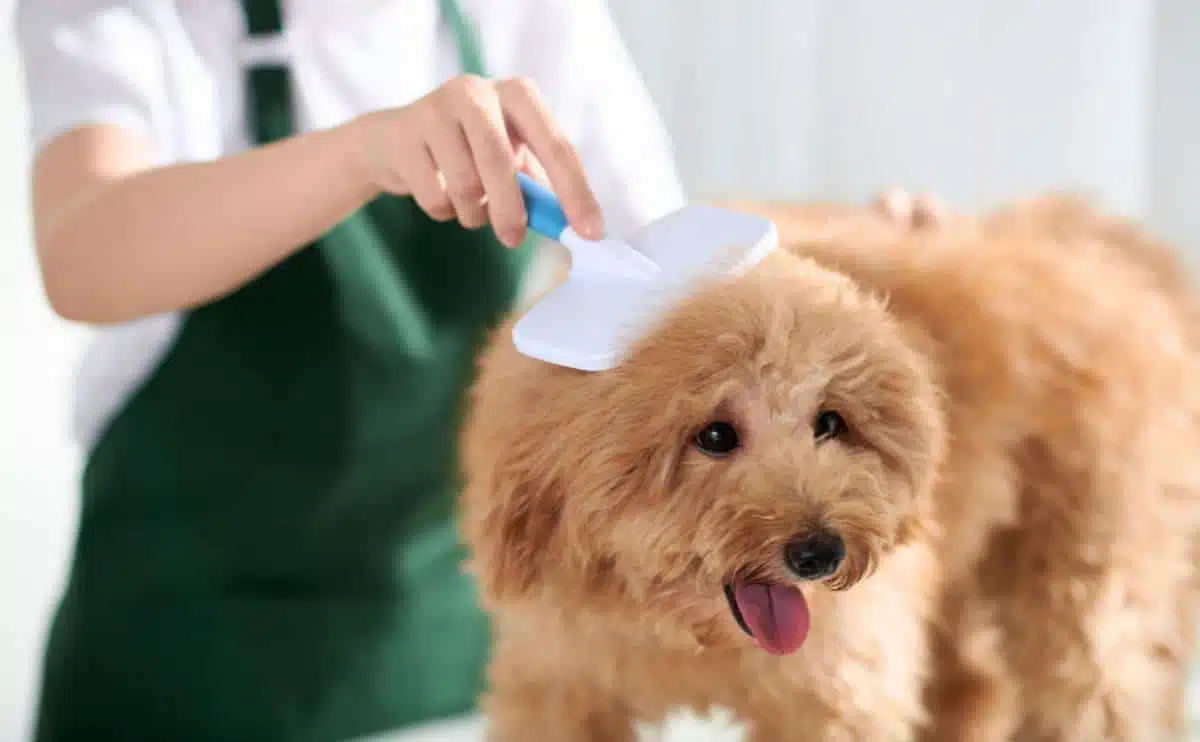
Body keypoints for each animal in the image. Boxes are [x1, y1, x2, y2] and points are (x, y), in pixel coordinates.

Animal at [456, 192, 1200, 739]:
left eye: (830, 422)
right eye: (715, 434)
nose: (820, 552)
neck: (691, 640)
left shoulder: (842, 691)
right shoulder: (557, 679)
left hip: (1091, 584)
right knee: (973, 687)